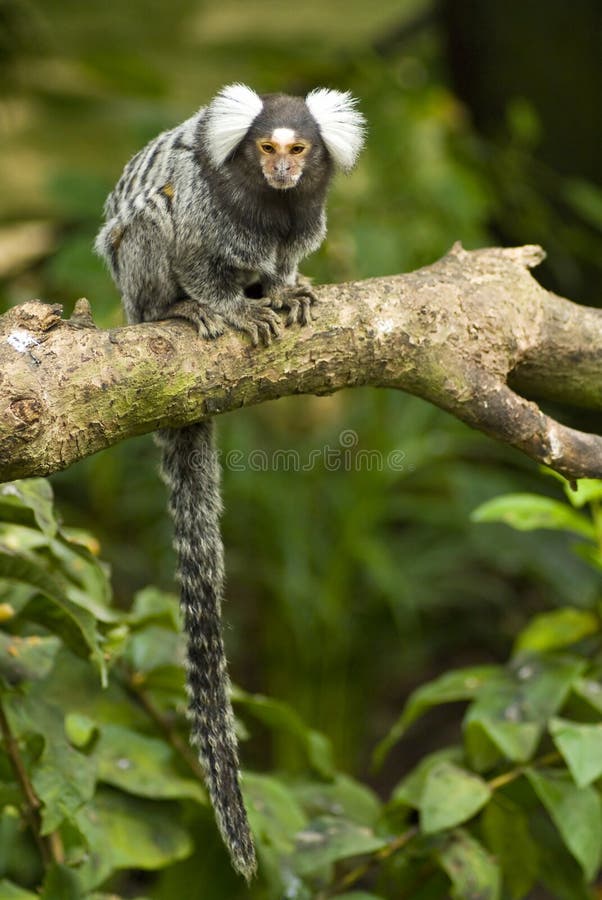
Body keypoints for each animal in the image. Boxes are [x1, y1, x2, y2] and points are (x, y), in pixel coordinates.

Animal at [96, 86, 364, 880]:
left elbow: (286, 261)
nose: (281, 169)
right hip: (135, 286)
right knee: (150, 218)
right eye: (265, 148)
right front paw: (231, 306)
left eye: (299, 150)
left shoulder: (300, 222)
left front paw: (285, 290)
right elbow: (189, 244)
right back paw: (176, 311)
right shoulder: (203, 209)